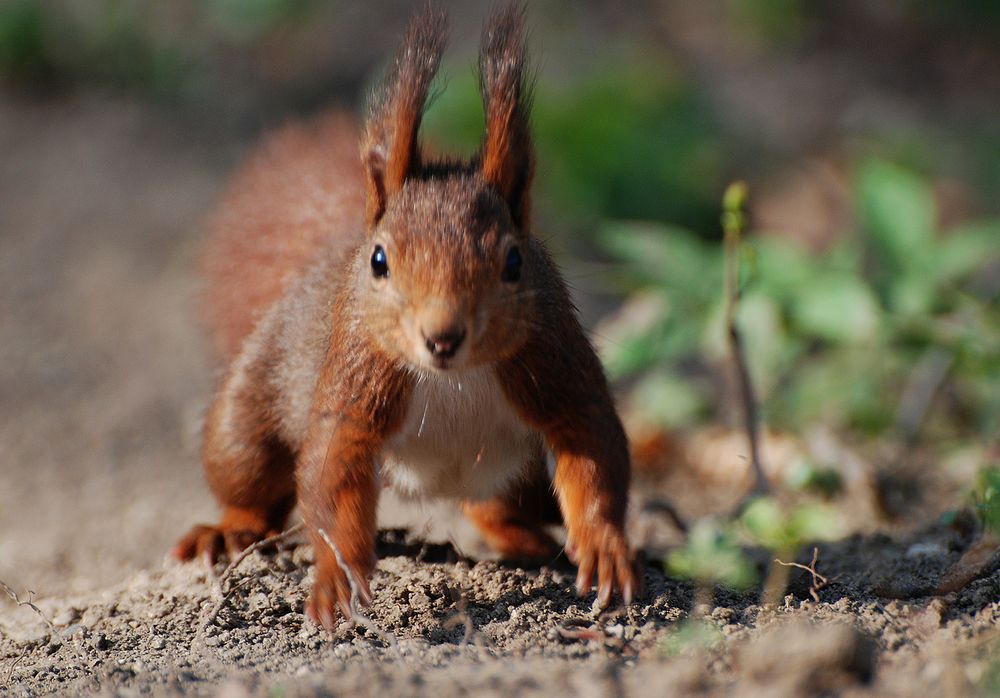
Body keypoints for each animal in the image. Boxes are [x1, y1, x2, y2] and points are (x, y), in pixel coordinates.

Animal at [172, 4, 636, 624]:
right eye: (380, 261)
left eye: (514, 262)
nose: (442, 337)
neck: (453, 379)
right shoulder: (358, 380)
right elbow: (332, 473)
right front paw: (339, 577)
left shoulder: (553, 360)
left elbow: (592, 446)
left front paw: (605, 546)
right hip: (248, 412)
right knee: (247, 476)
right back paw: (227, 530)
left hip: (523, 479)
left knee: (495, 505)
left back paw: (525, 540)